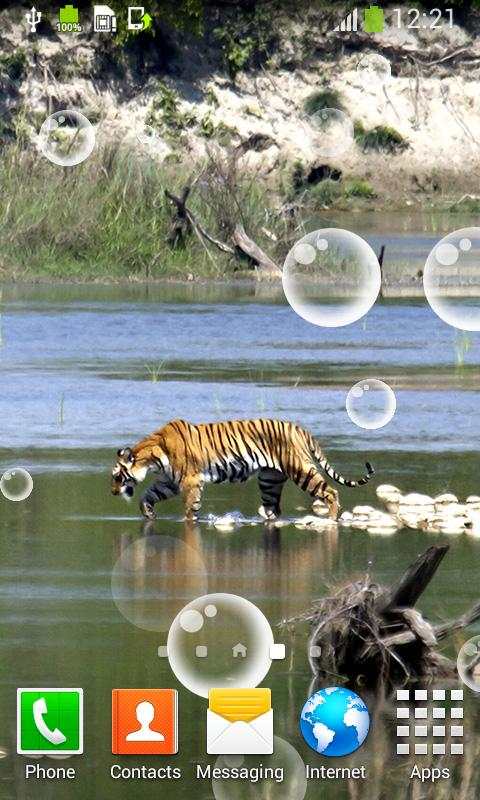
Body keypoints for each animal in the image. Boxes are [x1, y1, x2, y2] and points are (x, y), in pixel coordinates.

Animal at [111, 418, 374, 522]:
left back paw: (331, 519)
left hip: (301, 470)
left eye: (117, 476)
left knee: (330, 492)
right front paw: (148, 513)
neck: (153, 459)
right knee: (273, 508)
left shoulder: (190, 480)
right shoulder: (170, 481)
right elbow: (148, 495)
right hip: (269, 480)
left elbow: (189, 508)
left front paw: (189, 521)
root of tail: (299, 428)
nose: (112, 493)